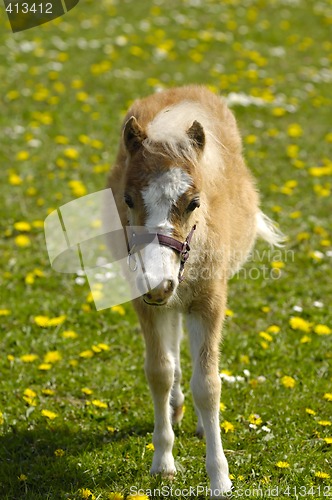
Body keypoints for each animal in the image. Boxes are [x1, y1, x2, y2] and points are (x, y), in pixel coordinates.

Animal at [107, 85, 282, 496]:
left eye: (194, 203)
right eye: (127, 199)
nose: (158, 282)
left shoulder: (209, 301)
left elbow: (208, 384)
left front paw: (220, 478)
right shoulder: (145, 300)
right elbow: (158, 371)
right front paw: (163, 462)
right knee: (172, 348)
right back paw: (174, 407)